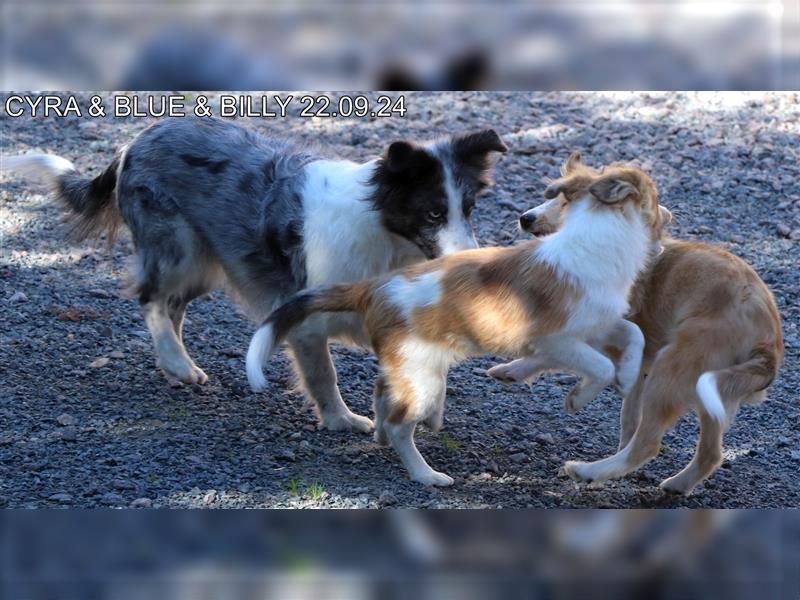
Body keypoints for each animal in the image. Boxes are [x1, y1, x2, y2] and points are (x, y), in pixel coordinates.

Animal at [4, 116, 506, 432]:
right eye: (433, 213)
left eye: (469, 208)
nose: (472, 261)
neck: (382, 233)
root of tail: (136, 141)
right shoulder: (304, 316)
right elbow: (323, 374)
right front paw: (340, 421)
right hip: (179, 249)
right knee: (151, 299)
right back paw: (175, 362)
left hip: (205, 264)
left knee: (172, 306)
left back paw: (177, 365)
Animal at [248, 152, 668, 486]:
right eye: (657, 198)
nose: (670, 216)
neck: (597, 236)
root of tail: (372, 288)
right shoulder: (557, 339)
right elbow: (599, 366)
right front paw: (579, 398)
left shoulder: (596, 324)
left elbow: (634, 333)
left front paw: (628, 375)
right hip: (424, 377)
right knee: (400, 424)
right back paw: (425, 475)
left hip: (412, 367)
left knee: (383, 394)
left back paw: (381, 437)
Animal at [490, 171, 784, 494]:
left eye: (565, 200)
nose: (525, 218)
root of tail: (768, 342)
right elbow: (625, 413)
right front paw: (513, 370)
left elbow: (556, 354)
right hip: (713, 393)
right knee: (709, 453)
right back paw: (676, 483)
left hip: (673, 366)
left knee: (647, 444)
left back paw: (587, 471)